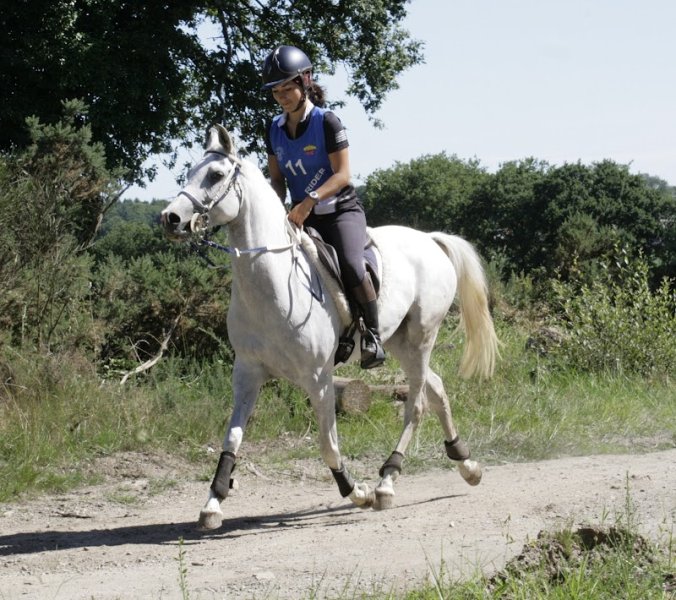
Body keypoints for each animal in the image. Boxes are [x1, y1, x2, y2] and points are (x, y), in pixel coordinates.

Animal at [161, 125, 499, 530]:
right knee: (436, 388)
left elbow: (327, 444)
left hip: (421, 337)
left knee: (416, 403)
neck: (271, 284)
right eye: (189, 173)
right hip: (400, 342)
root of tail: (430, 240)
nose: (170, 219)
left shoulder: (318, 377)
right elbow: (232, 439)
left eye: (214, 175)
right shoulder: (247, 372)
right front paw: (213, 503)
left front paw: (357, 492)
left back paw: (386, 483)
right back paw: (467, 465)